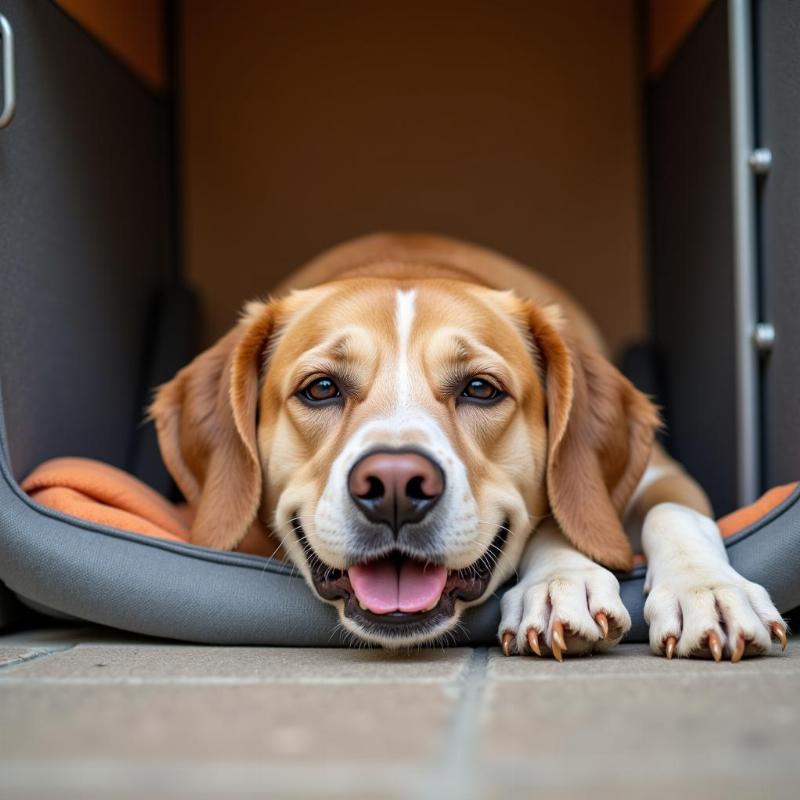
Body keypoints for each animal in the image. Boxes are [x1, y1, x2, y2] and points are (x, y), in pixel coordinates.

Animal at [152, 230, 788, 656]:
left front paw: (704, 589)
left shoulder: (662, 472)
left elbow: (672, 514)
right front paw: (564, 580)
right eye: (322, 388)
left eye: (480, 389)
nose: (395, 486)